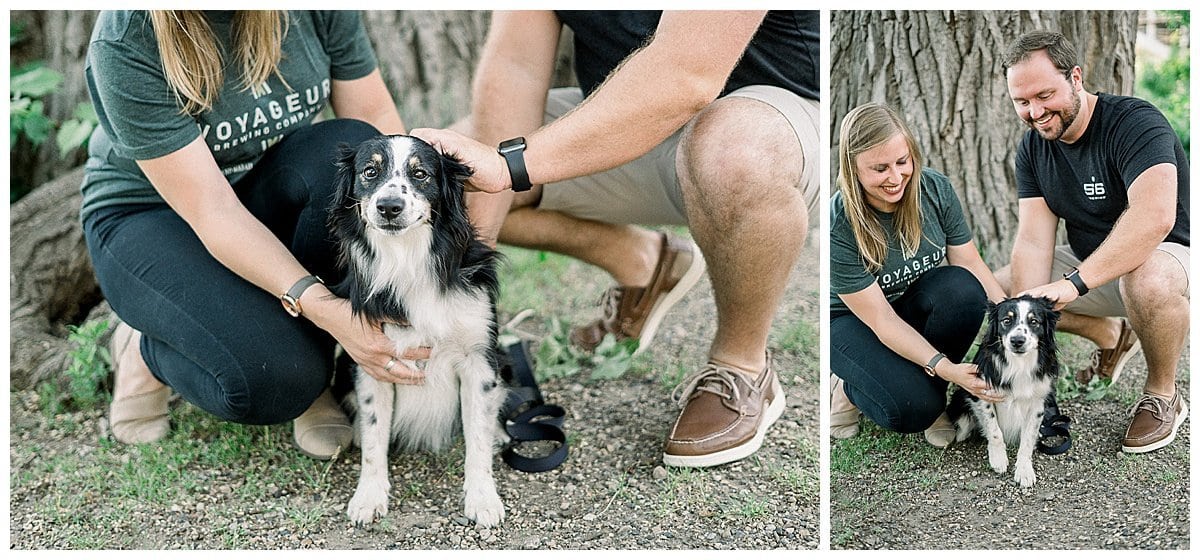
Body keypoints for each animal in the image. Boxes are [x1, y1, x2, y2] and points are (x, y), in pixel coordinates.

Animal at [331, 133, 508, 527]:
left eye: (421, 174)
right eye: (370, 172)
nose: (389, 206)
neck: (408, 260)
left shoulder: (478, 359)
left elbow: (478, 435)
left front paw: (483, 498)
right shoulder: (372, 360)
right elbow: (375, 436)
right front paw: (369, 495)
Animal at [945, 298, 1060, 486]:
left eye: (1034, 322)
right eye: (1006, 320)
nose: (1017, 340)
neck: (1019, 363)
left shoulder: (1038, 402)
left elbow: (1028, 438)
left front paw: (1024, 470)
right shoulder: (981, 393)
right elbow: (994, 430)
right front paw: (998, 459)